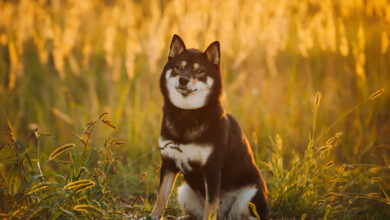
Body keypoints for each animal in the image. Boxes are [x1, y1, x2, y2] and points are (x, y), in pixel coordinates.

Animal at [151, 34, 270, 220]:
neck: (187, 114)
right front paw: (153, 216)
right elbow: (161, 197)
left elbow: (210, 205)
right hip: (184, 192)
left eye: (199, 71)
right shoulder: (169, 163)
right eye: (179, 67)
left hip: (249, 195)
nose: (183, 79)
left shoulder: (212, 170)